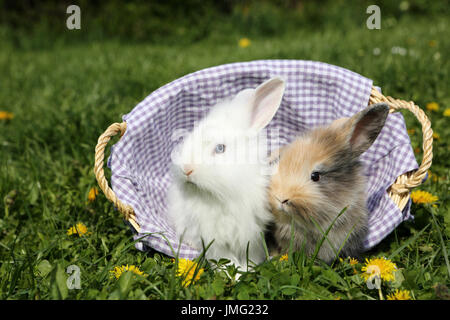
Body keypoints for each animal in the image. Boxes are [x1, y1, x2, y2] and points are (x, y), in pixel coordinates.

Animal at [165, 77, 284, 270]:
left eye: (220, 148)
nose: (186, 168)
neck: (222, 195)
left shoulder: (252, 235)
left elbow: (250, 256)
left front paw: (248, 269)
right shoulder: (212, 239)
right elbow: (226, 259)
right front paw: (236, 273)